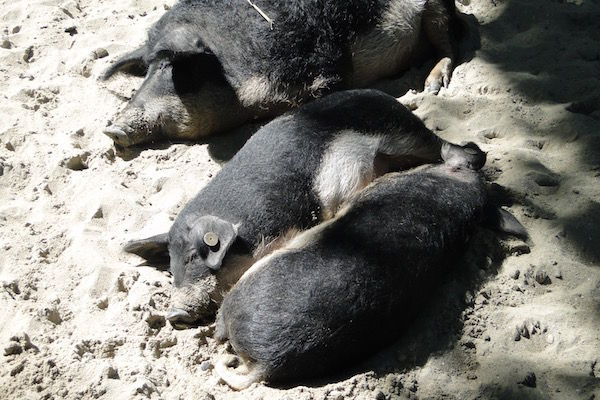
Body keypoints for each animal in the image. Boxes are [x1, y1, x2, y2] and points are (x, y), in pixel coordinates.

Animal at [103, 0, 462, 147]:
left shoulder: (322, 72)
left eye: (172, 67)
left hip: (437, 10)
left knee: (452, 43)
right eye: (147, 69)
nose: (112, 128)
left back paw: (432, 87)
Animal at [124, 89, 486, 324]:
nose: (175, 314)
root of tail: (381, 95)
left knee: (461, 150)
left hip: (403, 133)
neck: (244, 235)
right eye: (171, 268)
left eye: (194, 257)